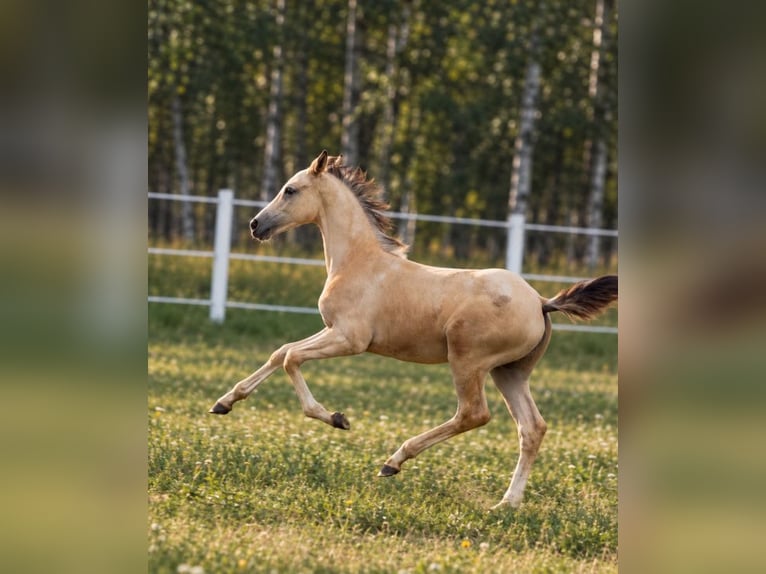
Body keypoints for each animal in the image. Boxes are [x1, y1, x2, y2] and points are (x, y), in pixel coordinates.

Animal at [210, 150, 617, 509]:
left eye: (290, 190)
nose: (256, 225)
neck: (358, 262)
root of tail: (540, 302)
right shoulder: (332, 330)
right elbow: (279, 352)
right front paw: (224, 403)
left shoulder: (350, 339)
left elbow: (291, 357)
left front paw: (337, 419)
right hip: (509, 372)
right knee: (532, 428)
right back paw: (507, 503)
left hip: (468, 361)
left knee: (473, 414)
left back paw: (394, 461)